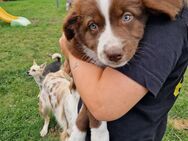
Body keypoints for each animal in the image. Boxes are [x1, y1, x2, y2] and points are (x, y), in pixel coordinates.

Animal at [62, 0, 183, 140]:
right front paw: (99, 136)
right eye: (93, 26)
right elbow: (91, 111)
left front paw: (95, 135)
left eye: (127, 17)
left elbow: (89, 109)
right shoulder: (78, 53)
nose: (114, 54)